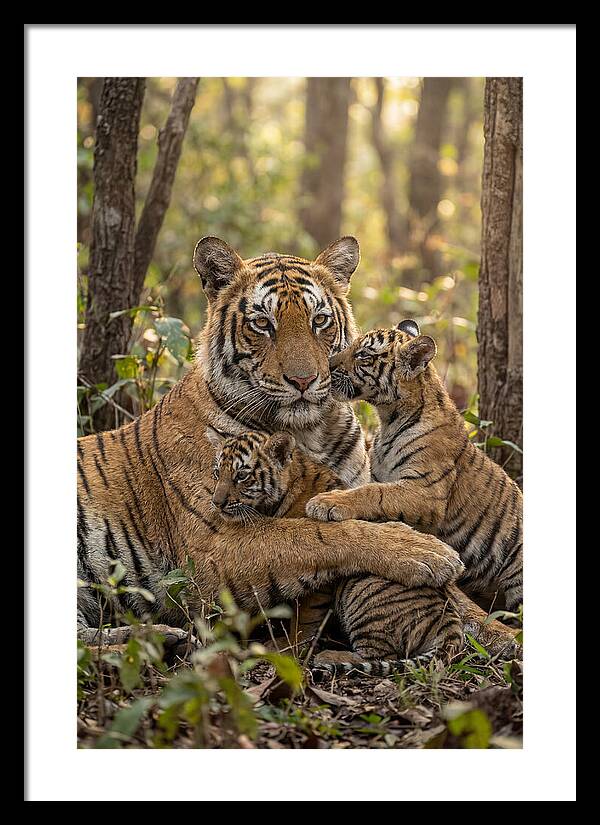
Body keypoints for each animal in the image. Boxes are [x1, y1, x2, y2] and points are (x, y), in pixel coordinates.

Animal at [77, 238, 465, 647]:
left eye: (319, 321)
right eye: (262, 323)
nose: (304, 380)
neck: (309, 432)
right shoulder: (214, 544)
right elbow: (315, 534)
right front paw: (426, 551)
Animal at [208, 427, 464, 674]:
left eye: (242, 475)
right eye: (217, 473)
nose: (216, 503)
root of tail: (450, 620)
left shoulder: (320, 575)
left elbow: (305, 618)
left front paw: (290, 647)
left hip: (362, 590)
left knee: (381, 655)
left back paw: (330, 656)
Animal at [305, 319, 523, 623]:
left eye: (363, 355)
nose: (327, 364)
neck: (388, 419)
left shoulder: (426, 491)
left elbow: (374, 493)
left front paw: (327, 502)